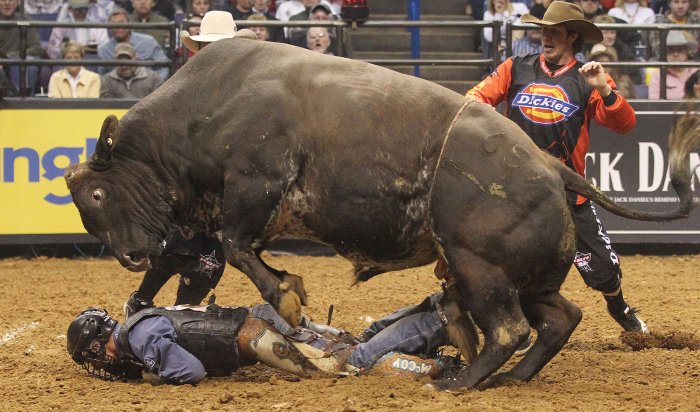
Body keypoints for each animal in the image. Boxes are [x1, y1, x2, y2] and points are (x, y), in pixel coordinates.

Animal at [65, 38, 700, 390]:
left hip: (481, 268)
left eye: (96, 196)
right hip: (525, 274)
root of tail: (551, 167)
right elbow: (222, 252)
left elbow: (237, 247)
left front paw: (287, 294)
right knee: (560, 317)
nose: (130, 256)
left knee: (511, 329)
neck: (205, 108)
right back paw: (510, 377)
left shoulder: (253, 185)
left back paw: (462, 382)